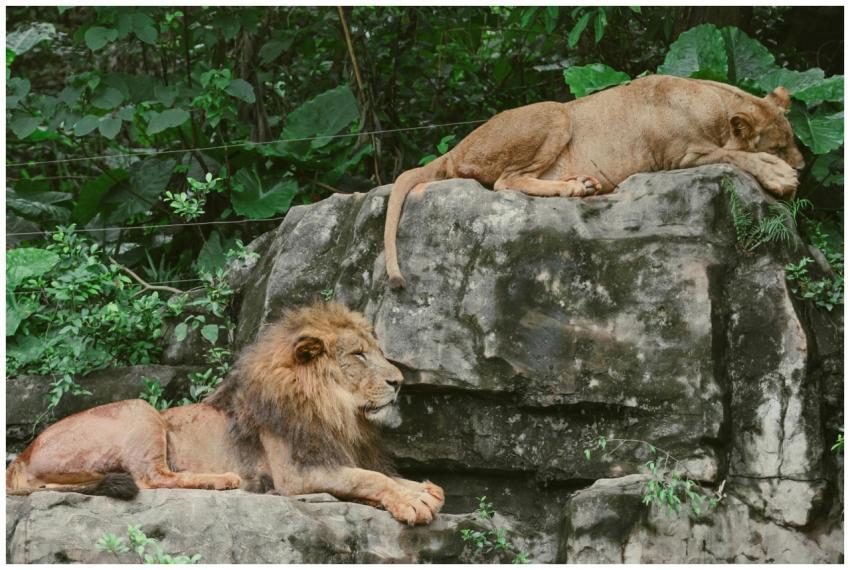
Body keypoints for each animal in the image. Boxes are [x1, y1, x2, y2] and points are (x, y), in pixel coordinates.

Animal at [6, 302, 445, 525]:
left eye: (376, 351)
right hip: (140, 409)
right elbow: (367, 477)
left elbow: (381, 475)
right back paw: (226, 480)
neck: (333, 408)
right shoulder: (296, 474)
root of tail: (20, 458)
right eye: (358, 355)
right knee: (152, 478)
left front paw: (422, 489)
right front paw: (414, 500)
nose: (399, 382)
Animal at [384, 74, 805, 288]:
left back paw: (585, 184)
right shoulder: (683, 156)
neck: (716, 108)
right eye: (780, 146)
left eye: (795, 140)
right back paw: (575, 187)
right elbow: (737, 155)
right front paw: (781, 176)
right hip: (554, 112)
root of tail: (456, 148)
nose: (802, 167)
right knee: (506, 181)